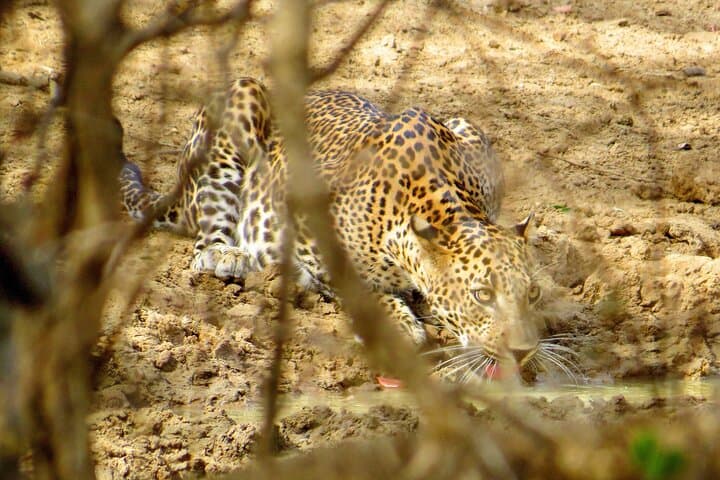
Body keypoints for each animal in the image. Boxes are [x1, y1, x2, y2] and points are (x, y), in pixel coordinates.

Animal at [120, 77, 549, 380]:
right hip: (239, 97)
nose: (524, 351)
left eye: (533, 293)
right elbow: (354, 284)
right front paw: (396, 323)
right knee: (204, 250)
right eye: (481, 295)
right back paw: (233, 256)